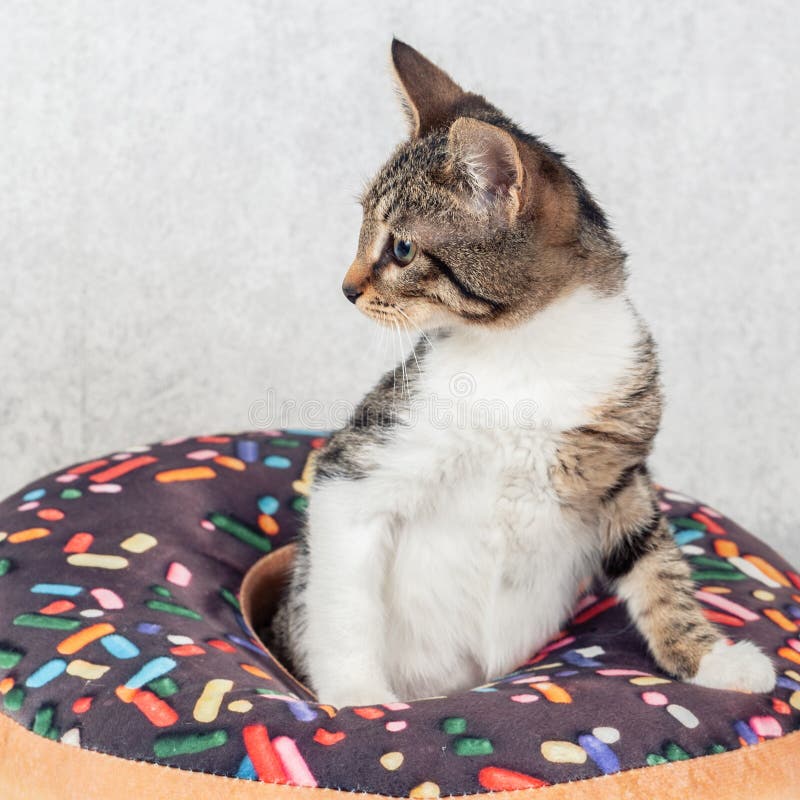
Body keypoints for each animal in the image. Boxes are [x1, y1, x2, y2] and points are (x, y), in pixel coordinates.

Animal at [270, 40, 776, 704]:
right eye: (362, 228)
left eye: (401, 249)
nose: (347, 288)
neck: (523, 351)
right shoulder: (360, 467)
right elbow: (343, 602)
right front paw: (359, 700)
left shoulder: (620, 468)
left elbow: (654, 565)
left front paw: (713, 661)